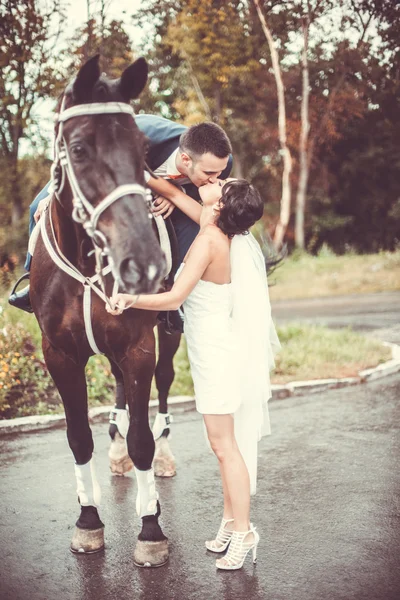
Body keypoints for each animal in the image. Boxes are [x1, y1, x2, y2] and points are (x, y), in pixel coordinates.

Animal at [31, 56, 180, 568]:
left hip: (166, 337)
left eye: (143, 150)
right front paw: (88, 522)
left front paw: (151, 528)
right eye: (78, 149)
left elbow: (142, 439)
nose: (145, 261)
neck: (85, 261)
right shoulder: (58, 354)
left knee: (163, 386)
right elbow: (78, 437)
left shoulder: (138, 347)